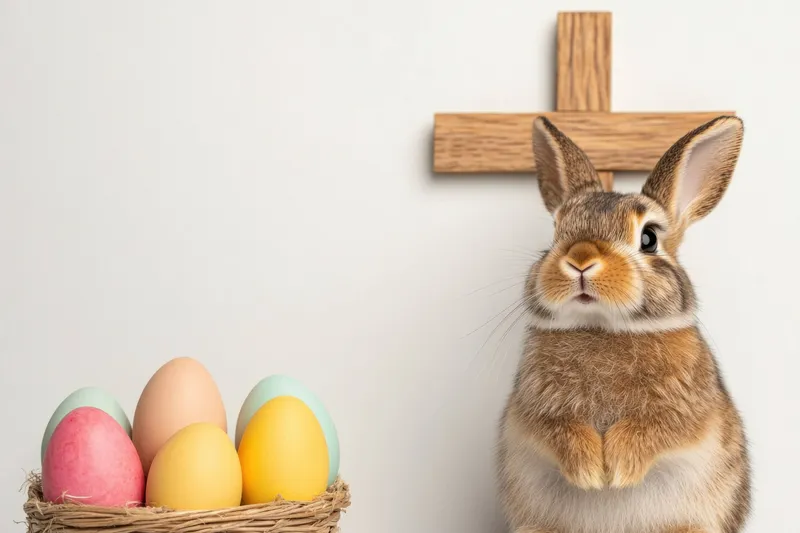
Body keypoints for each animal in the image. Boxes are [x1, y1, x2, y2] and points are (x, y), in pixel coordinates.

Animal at [496, 115, 750, 533]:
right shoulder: (534, 413)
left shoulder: (687, 415)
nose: (580, 258)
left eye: (648, 239)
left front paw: (616, 469)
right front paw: (589, 472)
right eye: (556, 230)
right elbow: (558, 430)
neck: (602, 327)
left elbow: (658, 429)